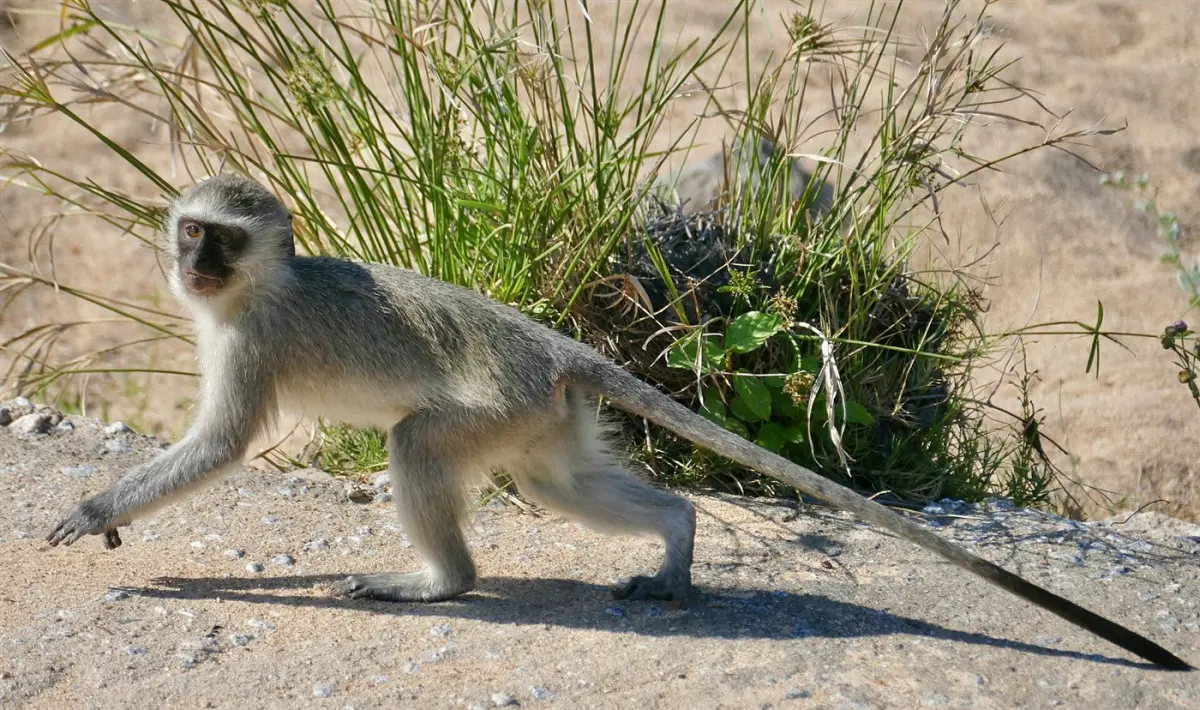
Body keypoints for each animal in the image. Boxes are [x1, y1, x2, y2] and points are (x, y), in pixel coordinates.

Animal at [45, 175, 1190, 671]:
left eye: (221, 240)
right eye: (190, 231)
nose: (190, 263)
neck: (258, 285)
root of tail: (554, 346)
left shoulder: (251, 341)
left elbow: (220, 448)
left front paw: (98, 510)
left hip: (497, 405)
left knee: (419, 444)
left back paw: (442, 582)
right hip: (541, 421)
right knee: (558, 484)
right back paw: (677, 540)